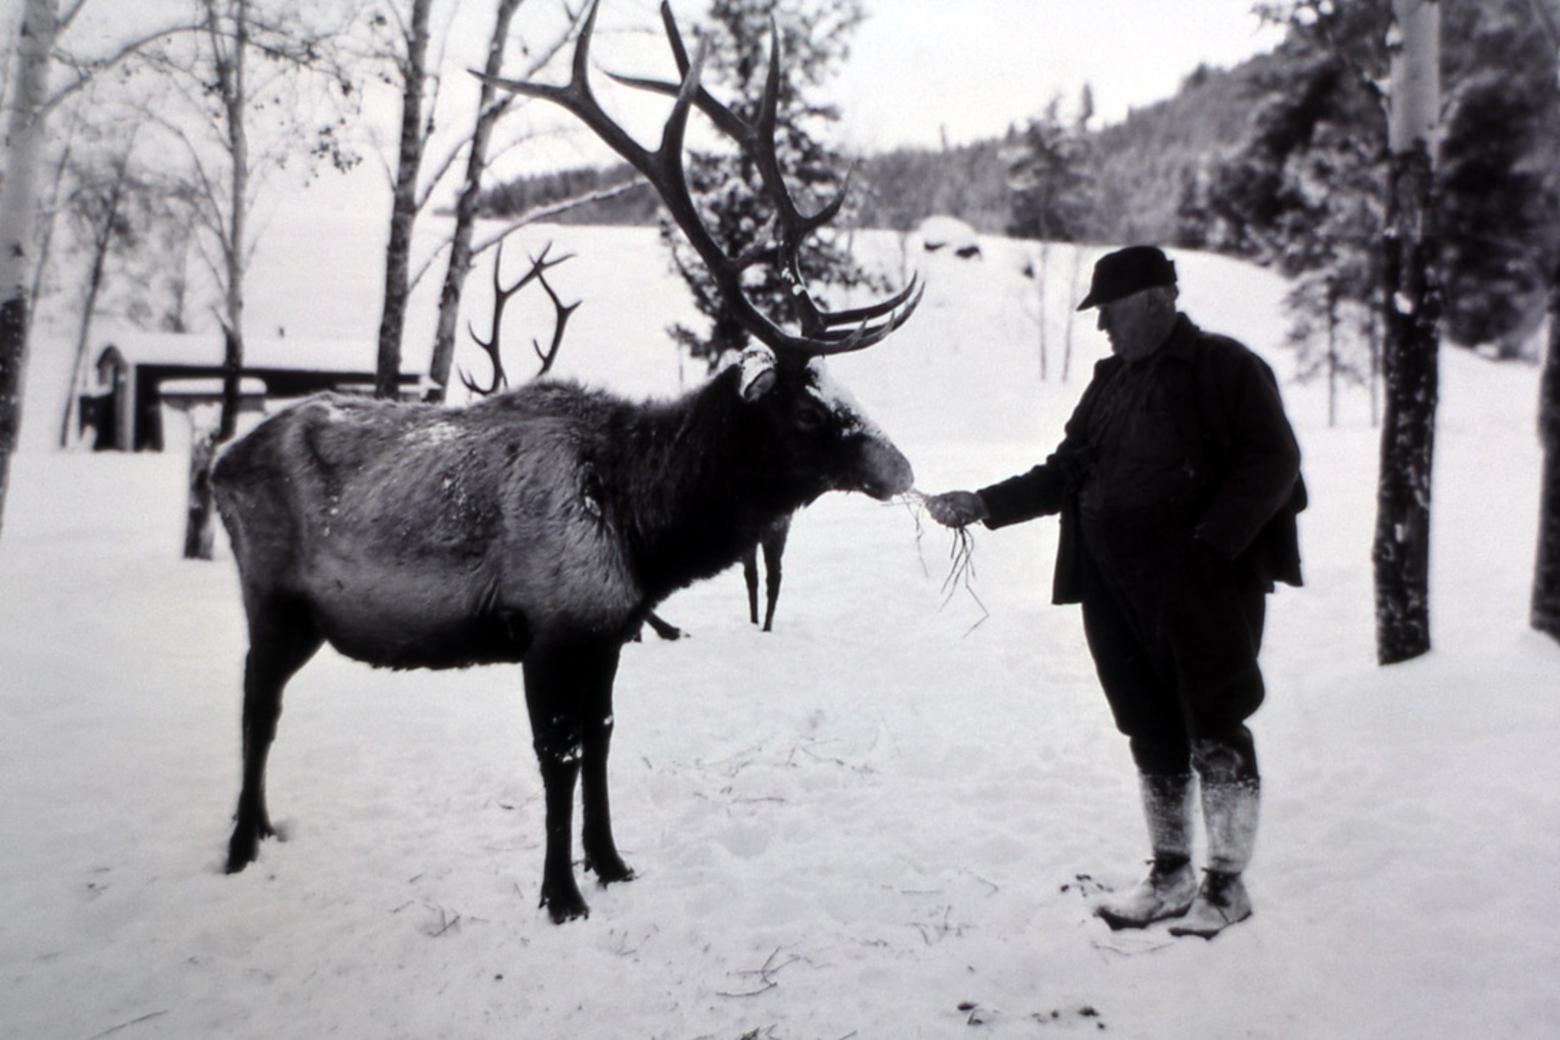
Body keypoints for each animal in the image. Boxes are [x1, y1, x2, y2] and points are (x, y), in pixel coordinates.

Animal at [221, 0, 923, 929]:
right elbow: (558, 758)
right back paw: (238, 845)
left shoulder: (606, 631)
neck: (645, 530)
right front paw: (561, 894)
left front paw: (613, 862)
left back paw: (266, 829)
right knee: (254, 704)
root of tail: (218, 464)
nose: (902, 467)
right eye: (809, 409)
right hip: (269, 595)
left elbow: (602, 740)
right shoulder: (549, 629)